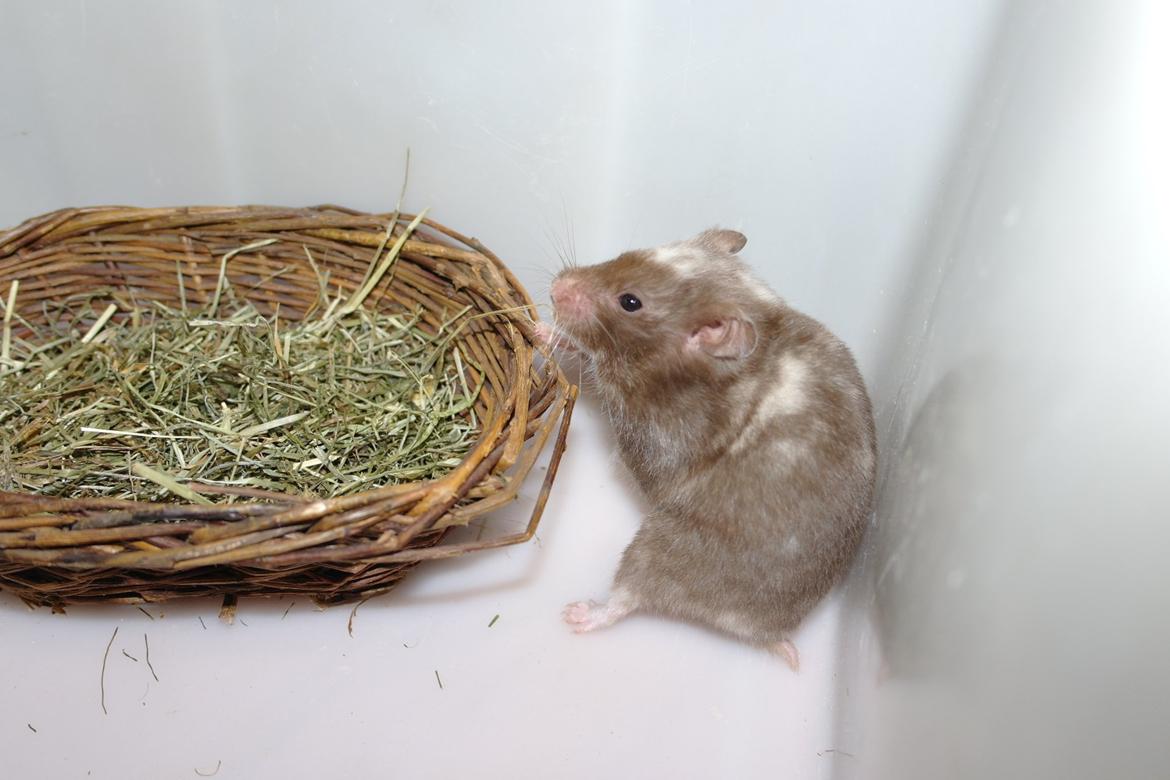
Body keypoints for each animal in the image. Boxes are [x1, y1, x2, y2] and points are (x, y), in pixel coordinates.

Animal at [537, 228, 876, 670]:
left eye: (630, 302)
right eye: (628, 253)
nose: (555, 287)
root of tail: (763, 630)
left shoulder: (658, 439)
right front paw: (542, 330)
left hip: (662, 547)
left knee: (629, 596)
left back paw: (579, 614)